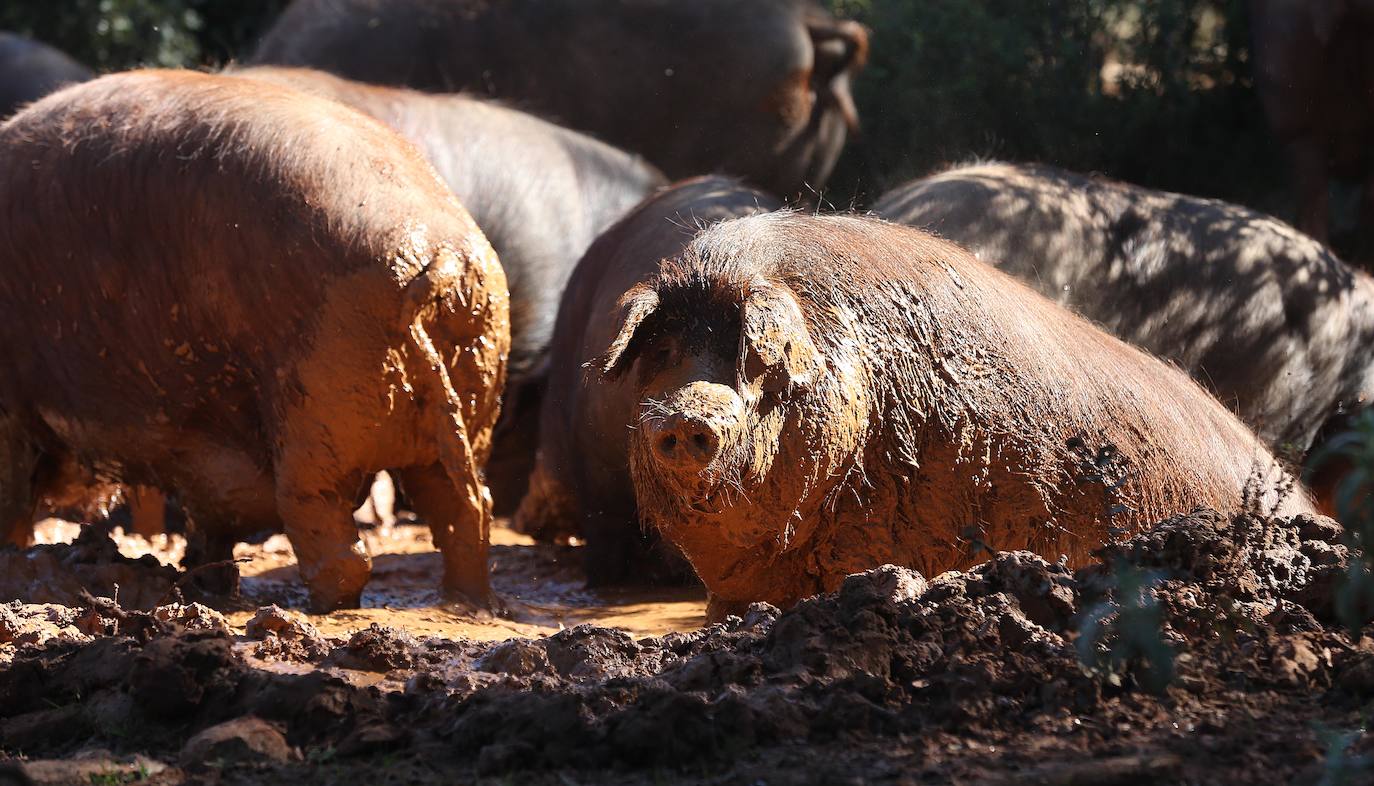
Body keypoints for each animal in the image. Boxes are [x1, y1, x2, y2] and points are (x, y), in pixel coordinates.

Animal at [0, 70, 511, 610]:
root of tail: (441, 257)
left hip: (316, 412)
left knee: (335, 541)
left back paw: (317, 607)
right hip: (473, 398)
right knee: (467, 514)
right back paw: (467, 603)